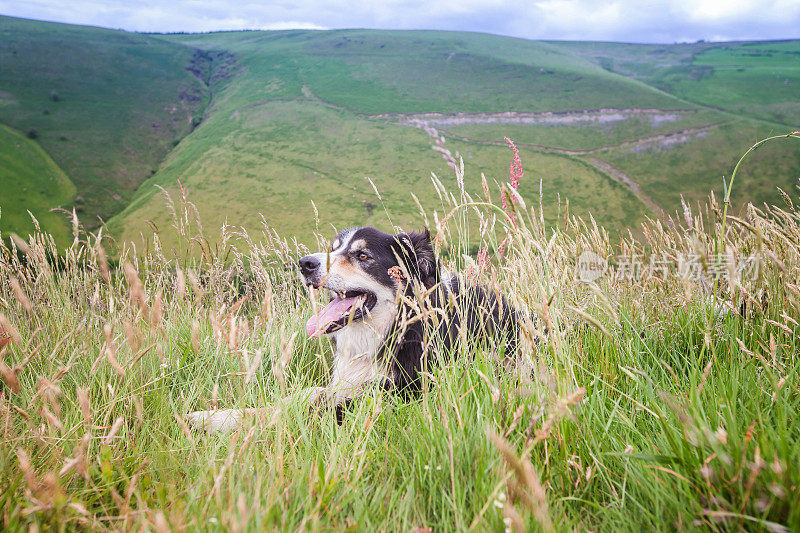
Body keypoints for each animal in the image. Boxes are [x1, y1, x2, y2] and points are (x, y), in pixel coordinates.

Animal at [190, 227, 520, 430]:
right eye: (333, 249)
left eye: (362, 256)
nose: (305, 264)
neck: (399, 327)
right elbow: (305, 395)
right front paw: (212, 415)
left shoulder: (397, 393)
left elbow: (300, 406)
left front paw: (214, 420)